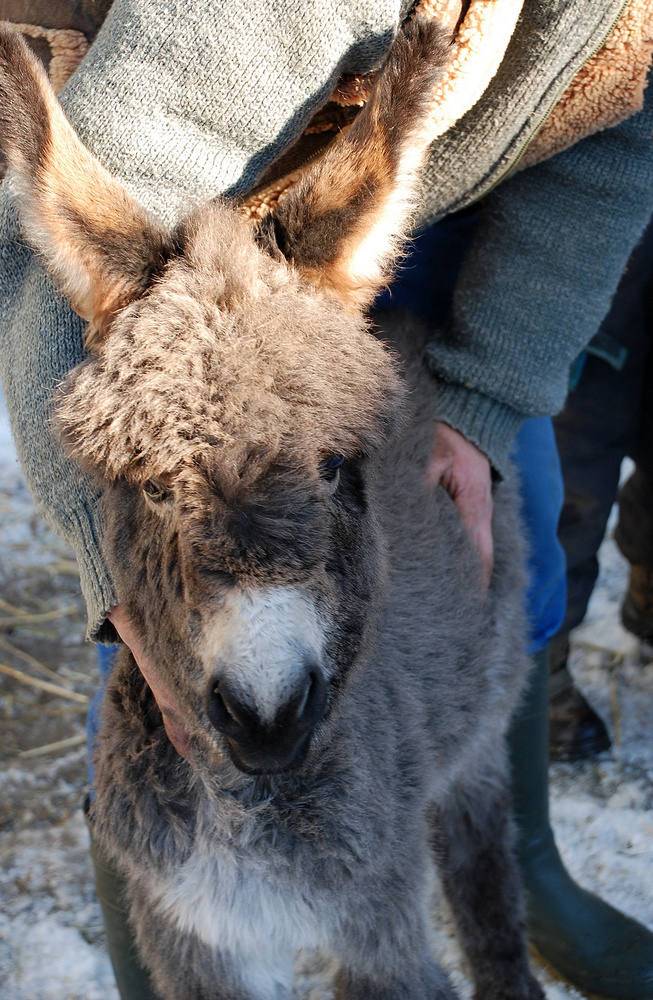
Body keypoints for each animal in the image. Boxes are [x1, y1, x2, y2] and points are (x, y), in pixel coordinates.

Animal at [0, 15, 544, 1000]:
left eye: (334, 468)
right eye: (149, 485)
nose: (268, 716)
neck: (242, 808)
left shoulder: (379, 927)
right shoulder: (190, 933)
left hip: (479, 720)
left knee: (485, 868)